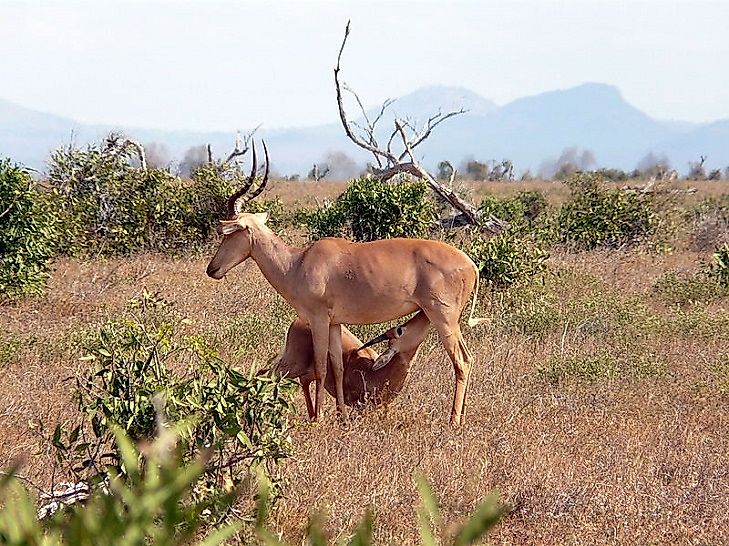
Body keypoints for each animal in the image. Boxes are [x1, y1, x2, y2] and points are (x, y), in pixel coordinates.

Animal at [268, 310, 430, 412]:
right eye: (400, 330)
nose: (423, 314)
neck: (375, 375)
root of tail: (299, 320)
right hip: (291, 366)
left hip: (306, 371)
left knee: (303, 381)